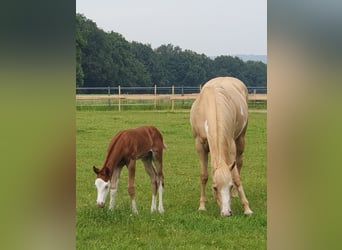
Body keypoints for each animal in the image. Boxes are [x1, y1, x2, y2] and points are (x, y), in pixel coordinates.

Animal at [191, 76, 252, 217]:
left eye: (230, 186)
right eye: (215, 188)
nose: (226, 213)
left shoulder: (231, 146)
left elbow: (236, 177)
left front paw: (247, 208)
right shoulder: (199, 145)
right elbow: (204, 176)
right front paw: (202, 206)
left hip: (241, 139)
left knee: (239, 163)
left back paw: (235, 194)